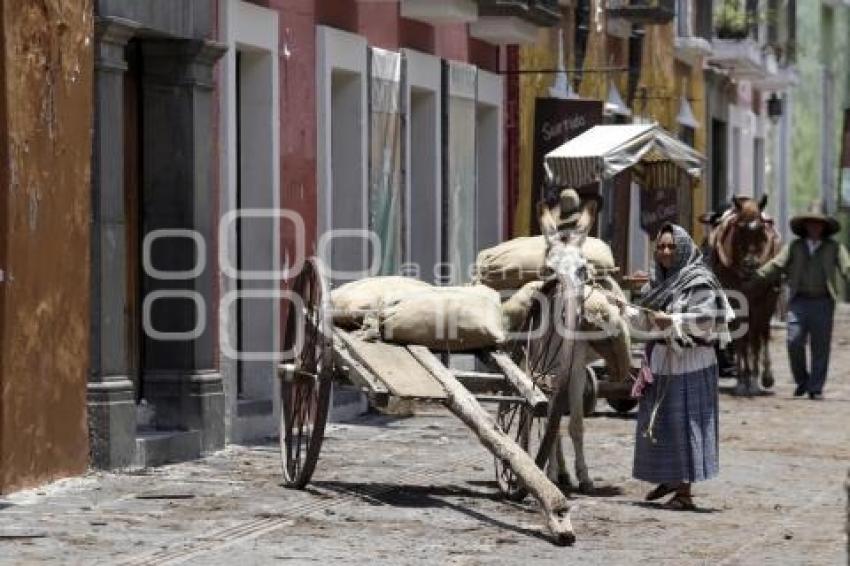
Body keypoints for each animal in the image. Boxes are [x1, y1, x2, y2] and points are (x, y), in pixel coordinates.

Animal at [704, 195, 780, 394]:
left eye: (761, 229)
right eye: (738, 228)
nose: (750, 264)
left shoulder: (764, 300)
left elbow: (757, 336)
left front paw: (757, 379)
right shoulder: (735, 301)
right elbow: (741, 338)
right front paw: (742, 380)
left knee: (759, 334)